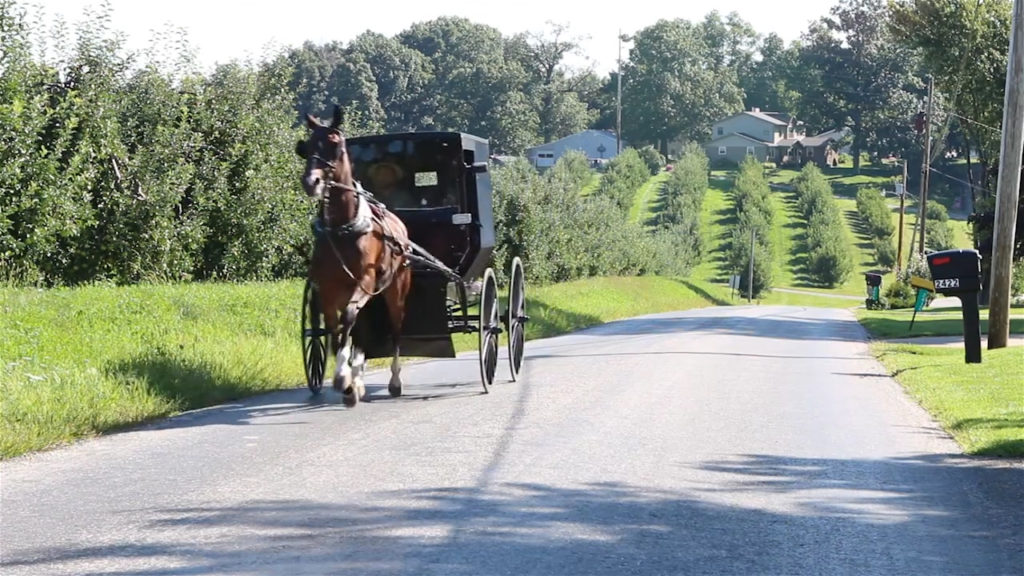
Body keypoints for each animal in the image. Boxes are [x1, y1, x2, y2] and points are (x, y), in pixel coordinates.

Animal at [292, 103, 411, 403]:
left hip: (394, 291)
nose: (311, 182)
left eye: (335, 145)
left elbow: (346, 321)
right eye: (307, 146)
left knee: (395, 330)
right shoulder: (327, 290)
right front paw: (347, 380)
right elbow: (335, 332)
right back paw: (357, 378)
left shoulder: (364, 282)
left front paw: (343, 376)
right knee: (361, 331)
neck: (342, 229)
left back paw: (393, 381)